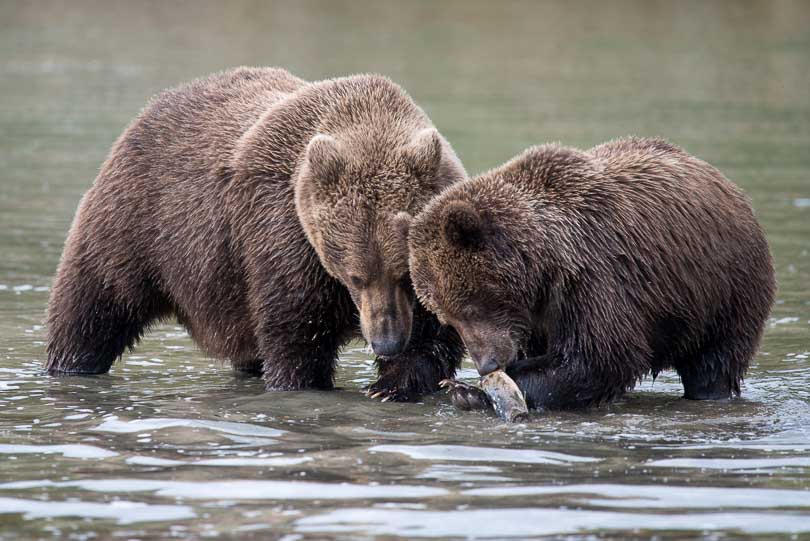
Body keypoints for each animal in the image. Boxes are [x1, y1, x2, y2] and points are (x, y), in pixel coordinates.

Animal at [45, 67, 468, 398]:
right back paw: (71, 364)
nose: (386, 342)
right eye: (354, 276)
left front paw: (391, 384)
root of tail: (150, 109)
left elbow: (435, 333)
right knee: (94, 305)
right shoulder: (281, 236)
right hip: (139, 224)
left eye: (402, 274)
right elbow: (297, 335)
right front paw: (306, 382)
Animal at [408, 138, 772, 410]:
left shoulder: (593, 277)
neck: (543, 267)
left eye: (470, 305)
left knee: (714, 361)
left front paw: (473, 391)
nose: (486, 363)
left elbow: (599, 357)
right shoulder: (536, 315)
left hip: (724, 290)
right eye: (445, 317)